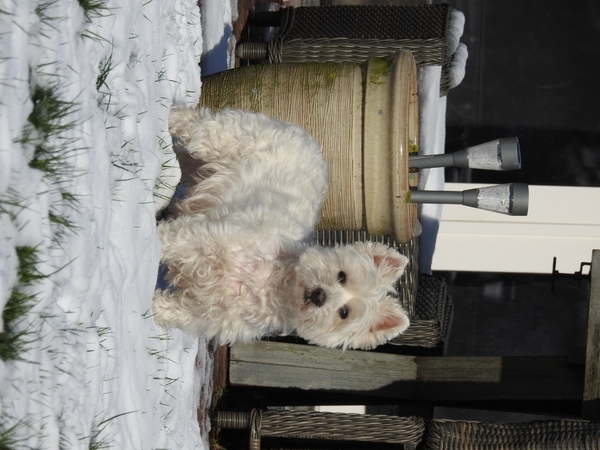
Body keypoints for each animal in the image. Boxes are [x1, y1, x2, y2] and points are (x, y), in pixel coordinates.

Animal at [152, 107, 410, 350]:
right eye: (342, 275)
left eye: (344, 313)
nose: (320, 295)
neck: (276, 282)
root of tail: (310, 139)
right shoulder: (210, 237)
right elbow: (172, 240)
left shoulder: (205, 314)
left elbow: (171, 310)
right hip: (224, 138)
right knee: (195, 124)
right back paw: (170, 115)